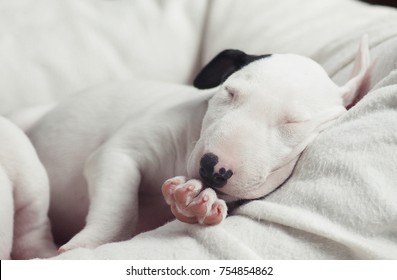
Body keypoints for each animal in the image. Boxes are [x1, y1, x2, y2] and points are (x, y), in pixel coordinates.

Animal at [26, 36, 370, 253]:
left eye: (293, 124)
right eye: (229, 92)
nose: (213, 169)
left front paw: (194, 204)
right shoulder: (120, 154)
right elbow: (119, 210)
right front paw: (81, 248)